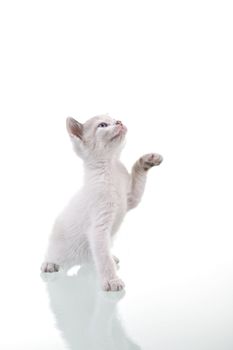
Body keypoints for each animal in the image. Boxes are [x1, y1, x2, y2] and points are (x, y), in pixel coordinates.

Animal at [41, 114, 163, 290]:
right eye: (103, 125)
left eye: (115, 120)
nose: (119, 122)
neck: (112, 166)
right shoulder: (99, 227)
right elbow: (104, 260)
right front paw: (112, 281)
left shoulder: (131, 199)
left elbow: (137, 172)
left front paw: (148, 160)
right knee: (57, 255)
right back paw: (49, 264)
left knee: (95, 258)